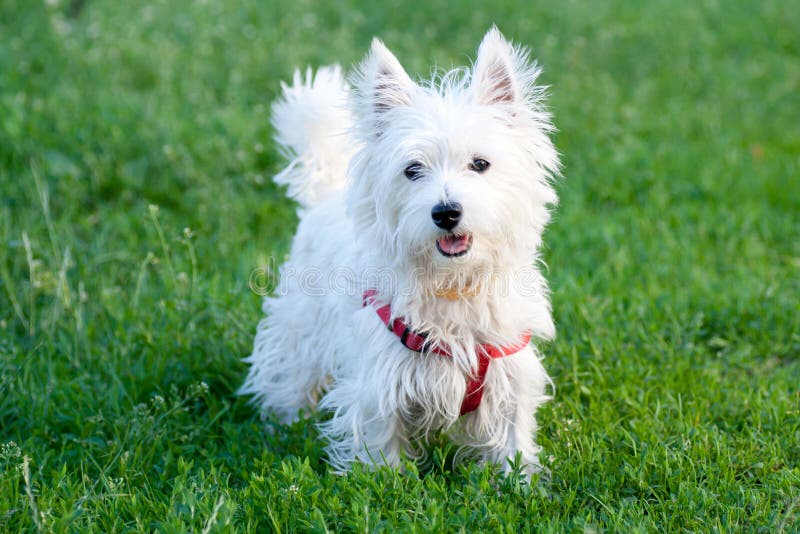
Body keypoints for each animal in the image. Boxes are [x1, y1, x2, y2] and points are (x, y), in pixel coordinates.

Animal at [241, 28, 560, 478]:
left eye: (480, 163)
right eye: (412, 170)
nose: (446, 212)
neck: (453, 285)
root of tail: (325, 196)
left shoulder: (507, 373)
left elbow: (512, 439)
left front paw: (519, 483)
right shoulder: (379, 383)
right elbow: (381, 444)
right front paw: (384, 483)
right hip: (299, 327)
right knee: (289, 377)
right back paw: (283, 424)